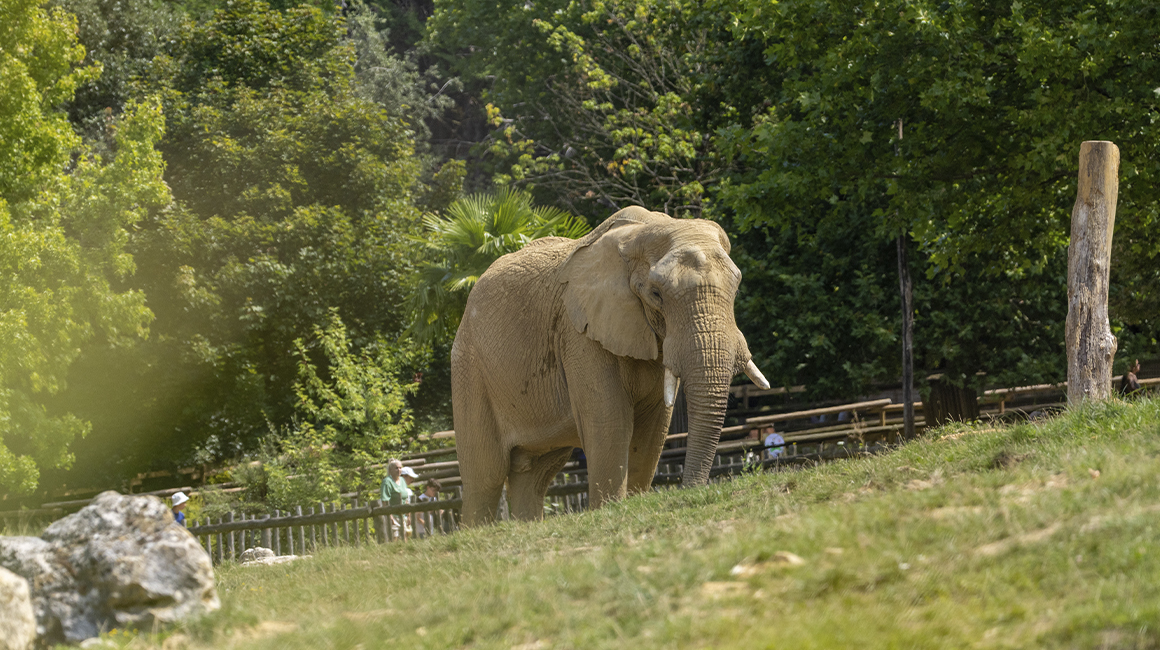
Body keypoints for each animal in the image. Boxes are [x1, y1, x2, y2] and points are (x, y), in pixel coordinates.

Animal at [451, 206, 769, 525]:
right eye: (656, 294)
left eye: (736, 289)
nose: (690, 491)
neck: (645, 230)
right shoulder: (579, 333)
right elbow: (610, 421)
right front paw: (611, 509)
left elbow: (654, 428)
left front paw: (636, 503)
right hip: (469, 368)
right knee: (486, 476)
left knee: (535, 474)